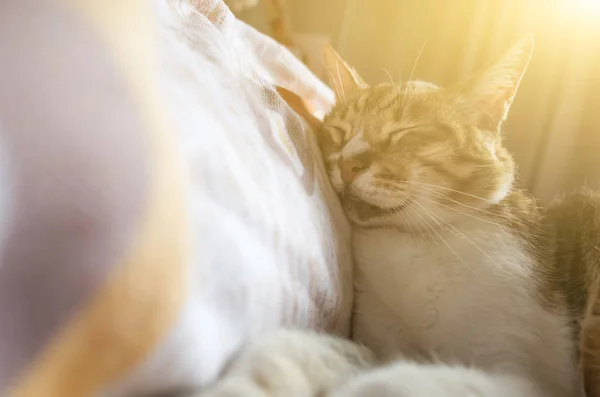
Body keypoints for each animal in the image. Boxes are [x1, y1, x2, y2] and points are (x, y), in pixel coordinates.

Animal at [196, 37, 592, 396]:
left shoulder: (523, 372)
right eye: (339, 132)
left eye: (405, 132)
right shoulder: (378, 344)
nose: (347, 163)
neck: (411, 244)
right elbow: (301, 348)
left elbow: (397, 382)